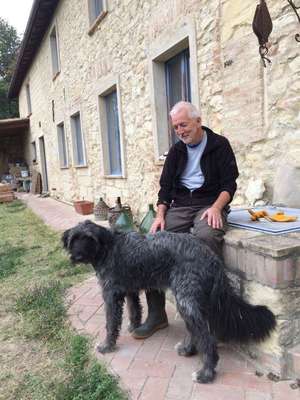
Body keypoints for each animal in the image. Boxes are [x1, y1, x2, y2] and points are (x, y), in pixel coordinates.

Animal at [62, 220, 276, 382]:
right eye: (74, 239)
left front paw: (107, 345)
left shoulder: (110, 295)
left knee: (206, 336)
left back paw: (205, 373)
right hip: (189, 300)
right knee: (196, 329)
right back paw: (188, 349)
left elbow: (111, 323)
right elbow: (134, 310)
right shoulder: (129, 290)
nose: (77, 256)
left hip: (185, 300)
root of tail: (211, 256)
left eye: (89, 238)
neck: (107, 247)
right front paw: (133, 327)